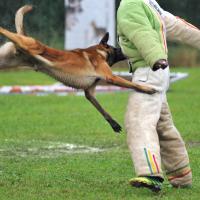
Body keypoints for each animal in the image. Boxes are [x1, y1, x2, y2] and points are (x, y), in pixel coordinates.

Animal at [0, 5, 156, 132]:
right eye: (116, 49)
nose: (125, 51)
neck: (99, 52)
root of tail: (24, 38)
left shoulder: (89, 93)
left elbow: (102, 109)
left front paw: (114, 124)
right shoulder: (111, 77)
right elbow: (132, 84)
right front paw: (148, 89)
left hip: (5, 60)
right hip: (28, 44)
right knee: (6, 31)